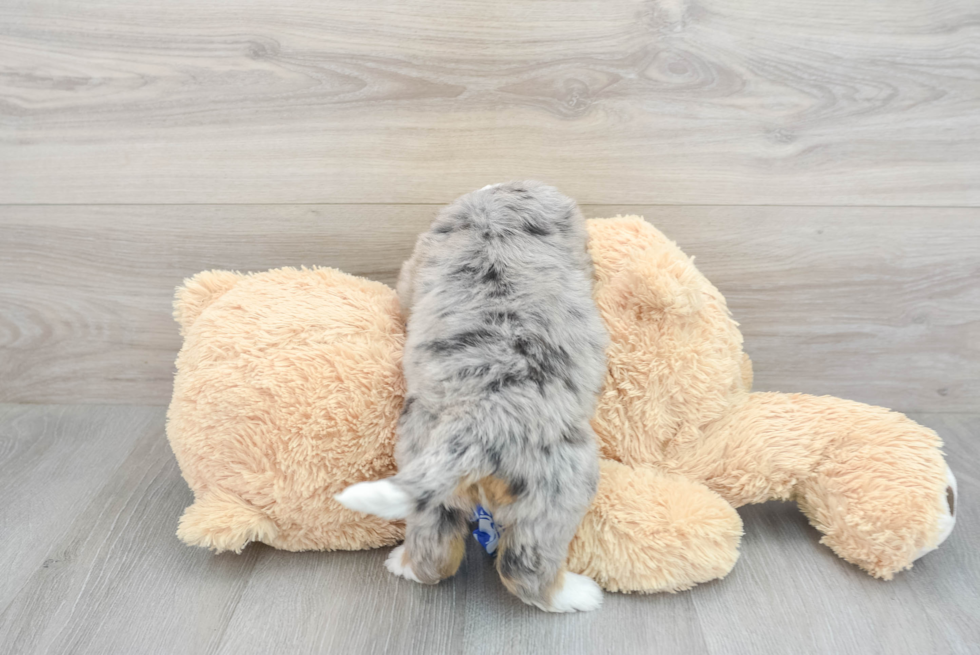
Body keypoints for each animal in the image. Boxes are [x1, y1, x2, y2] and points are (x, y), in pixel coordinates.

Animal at [334, 181, 604, 616]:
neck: (496, 215)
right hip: (558, 488)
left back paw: (404, 566)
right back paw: (576, 594)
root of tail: (480, 419)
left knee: (434, 550)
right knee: (524, 567)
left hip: (426, 468)